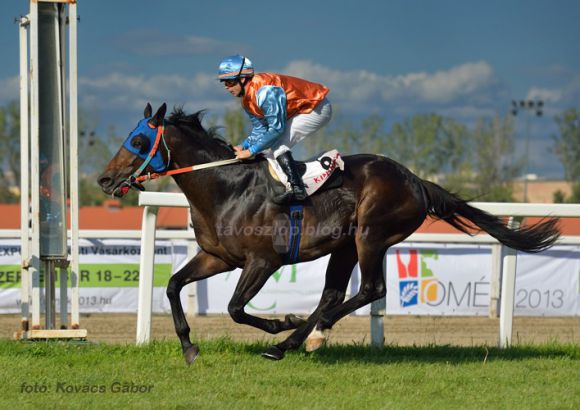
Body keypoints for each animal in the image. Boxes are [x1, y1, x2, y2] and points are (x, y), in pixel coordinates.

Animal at [97, 104, 560, 364]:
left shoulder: (263, 261)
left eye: (138, 140)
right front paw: (190, 348)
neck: (226, 186)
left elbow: (234, 308)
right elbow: (174, 285)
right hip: (344, 245)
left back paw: (306, 335)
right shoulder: (218, 257)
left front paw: (280, 321)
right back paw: (298, 339)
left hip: (370, 236)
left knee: (370, 289)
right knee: (334, 293)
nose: (103, 179)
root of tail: (416, 180)